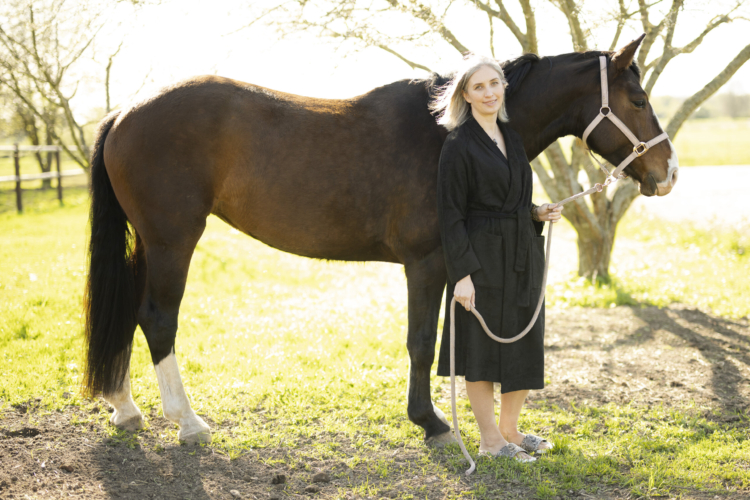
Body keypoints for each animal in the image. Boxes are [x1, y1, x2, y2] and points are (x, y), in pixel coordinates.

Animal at [83, 33, 680, 444]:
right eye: (637, 99)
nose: (668, 173)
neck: (444, 133)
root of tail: (125, 112)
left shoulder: (451, 267)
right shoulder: (427, 264)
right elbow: (422, 343)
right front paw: (432, 422)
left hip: (148, 244)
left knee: (130, 312)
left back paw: (126, 407)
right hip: (172, 241)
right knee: (158, 319)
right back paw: (188, 422)